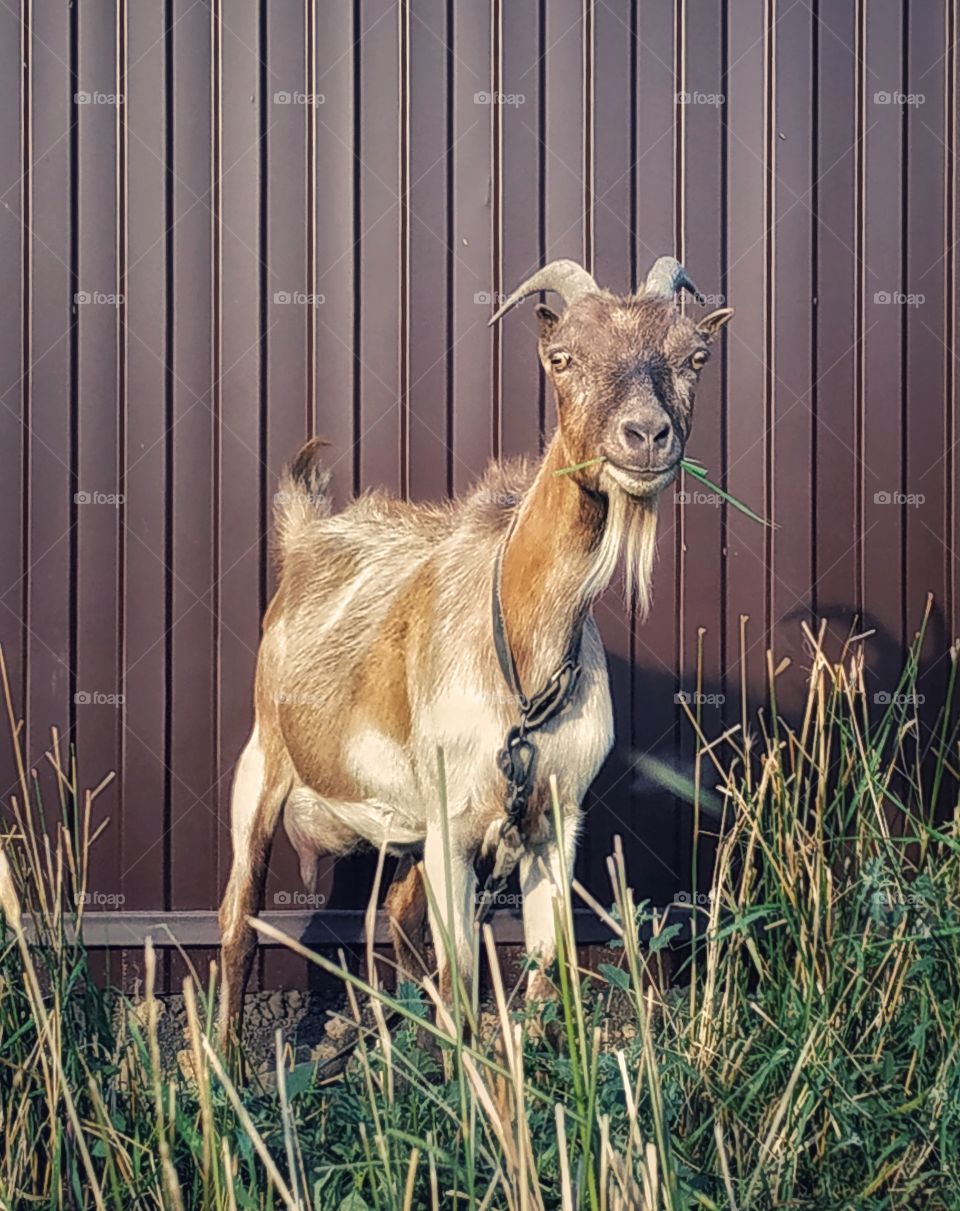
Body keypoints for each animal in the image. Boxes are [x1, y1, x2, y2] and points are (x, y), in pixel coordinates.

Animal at [217, 256, 733, 1047]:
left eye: (695, 358)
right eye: (563, 358)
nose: (647, 435)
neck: (523, 663)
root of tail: (304, 534)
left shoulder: (552, 818)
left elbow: (549, 978)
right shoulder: (452, 824)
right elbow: (461, 985)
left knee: (395, 917)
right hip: (264, 764)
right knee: (237, 922)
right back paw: (223, 1064)